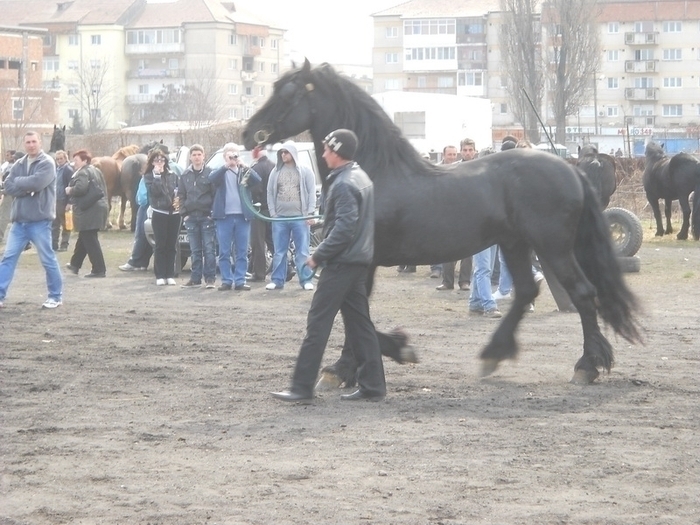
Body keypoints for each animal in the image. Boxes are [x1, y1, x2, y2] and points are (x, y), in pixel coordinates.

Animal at [241, 60, 640, 384]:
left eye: (286, 93)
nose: (248, 133)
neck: (372, 174)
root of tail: (573, 171)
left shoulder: (359, 262)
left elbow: (353, 313)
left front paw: (351, 365)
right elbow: (355, 312)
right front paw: (365, 361)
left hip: (553, 248)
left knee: (583, 294)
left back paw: (587, 366)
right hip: (514, 244)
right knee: (528, 291)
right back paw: (493, 355)